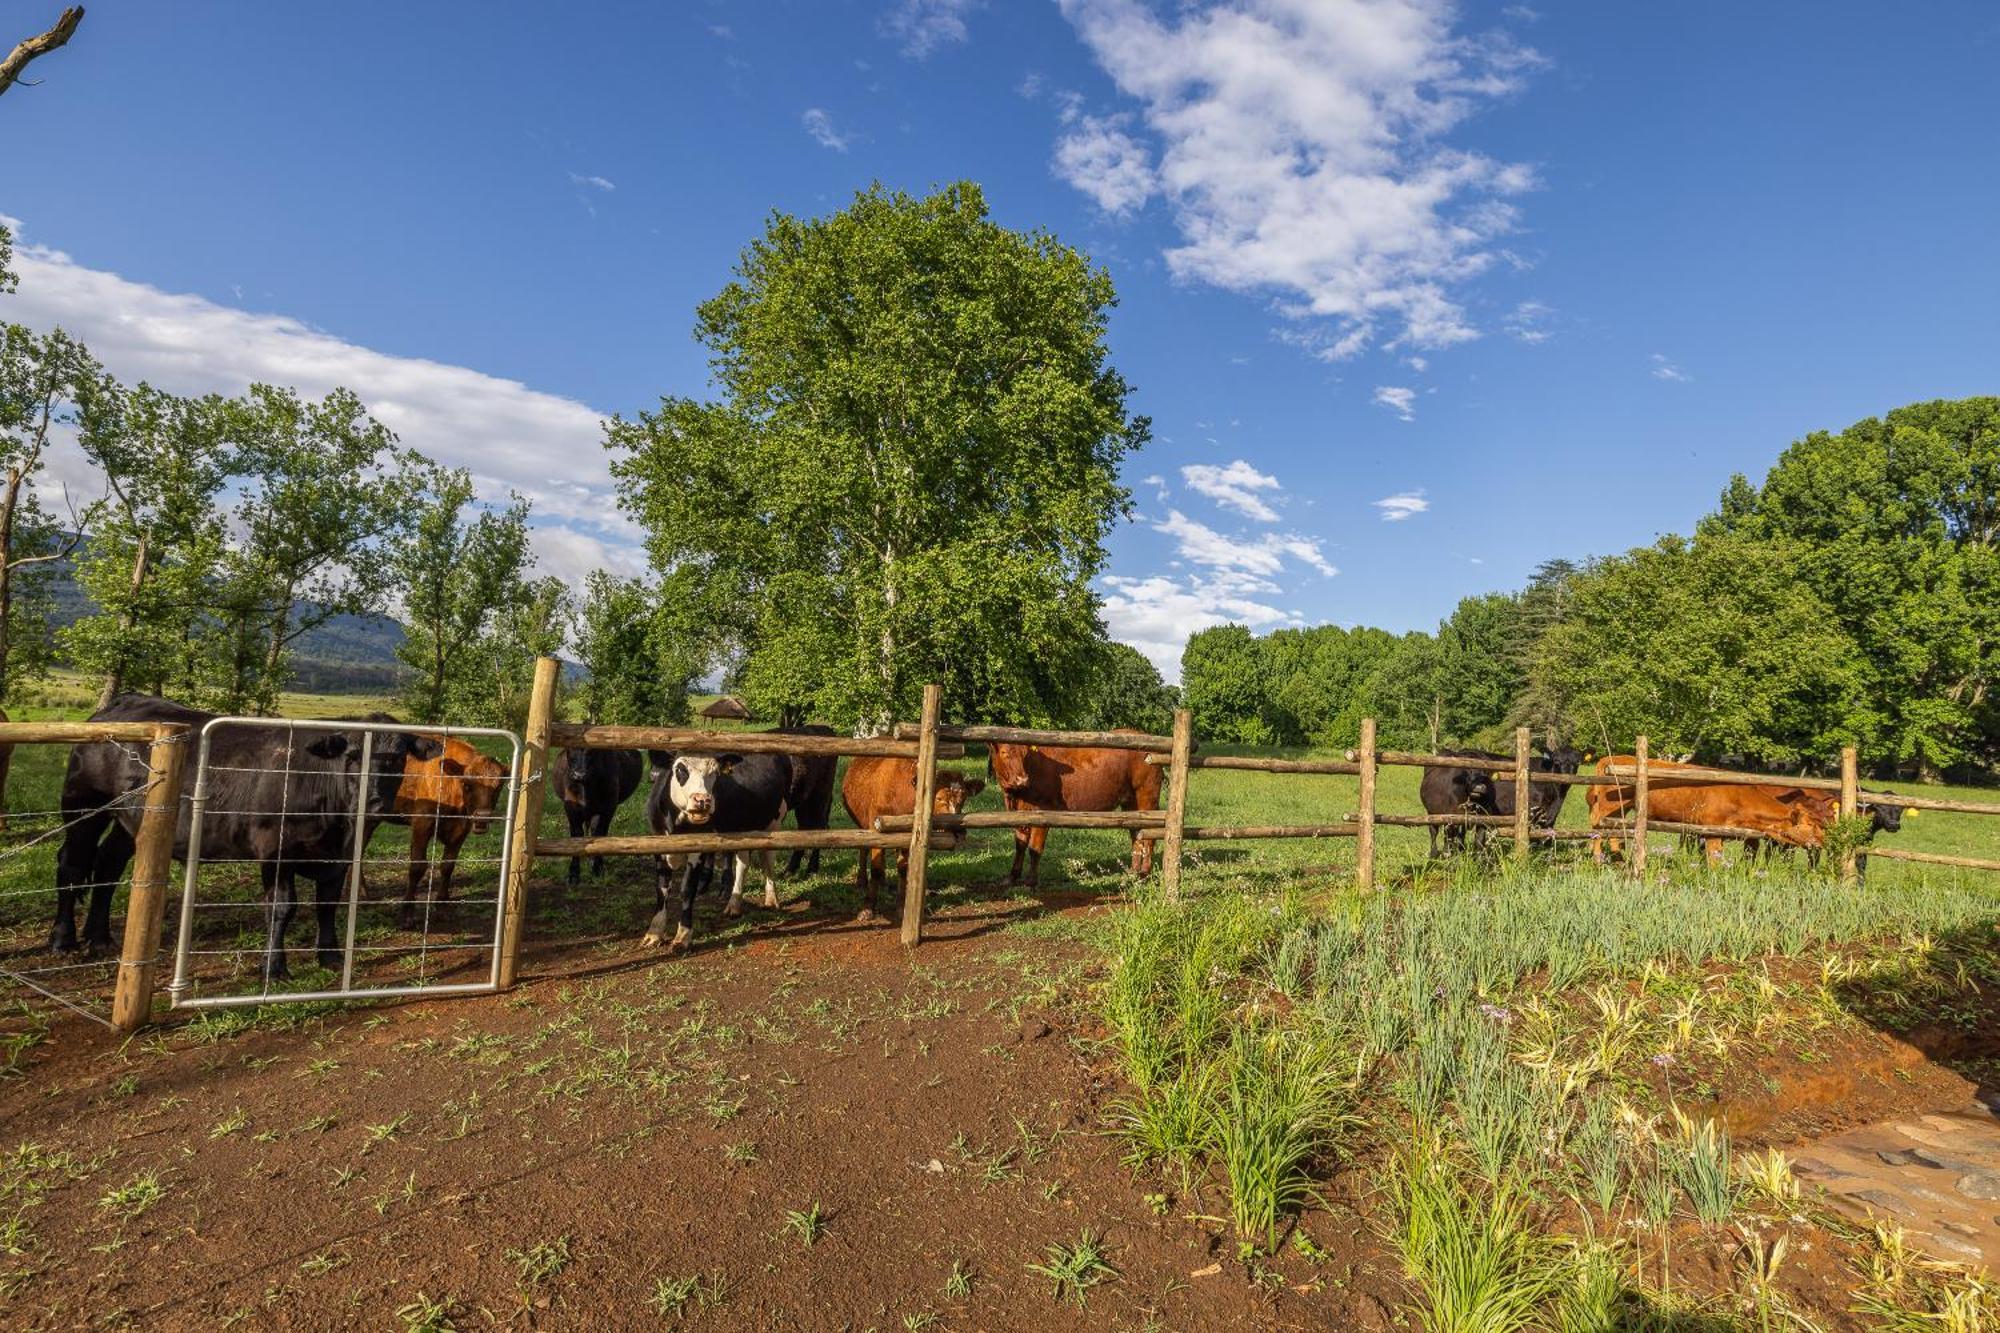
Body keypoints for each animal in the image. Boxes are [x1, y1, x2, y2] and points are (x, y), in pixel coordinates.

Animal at [386, 736, 504, 924]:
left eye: (499, 786)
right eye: (467, 784)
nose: (483, 817)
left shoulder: (461, 829)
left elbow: (448, 866)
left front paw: (442, 906)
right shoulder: (422, 823)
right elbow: (417, 866)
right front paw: (407, 912)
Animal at [552, 748, 644, 880]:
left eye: (592, 751)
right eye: (571, 749)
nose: (579, 774)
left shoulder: (607, 808)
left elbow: (599, 834)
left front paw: (597, 868)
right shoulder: (570, 808)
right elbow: (576, 835)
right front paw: (574, 873)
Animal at [644, 748, 792, 956]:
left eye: (714, 773)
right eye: (680, 769)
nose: (702, 800)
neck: (676, 826)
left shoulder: (697, 850)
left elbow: (687, 889)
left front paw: (683, 937)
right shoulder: (657, 845)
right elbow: (662, 888)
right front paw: (654, 932)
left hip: (774, 821)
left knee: (767, 858)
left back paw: (771, 898)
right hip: (744, 828)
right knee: (743, 862)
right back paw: (734, 904)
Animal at [836, 752, 984, 920]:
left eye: (964, 799)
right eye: (938, 798)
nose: (959, 831)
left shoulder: (907, 837)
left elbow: (903, 869)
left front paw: (901, 906)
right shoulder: (875, 831)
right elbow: (875, 869)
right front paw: (867, 908)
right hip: (862, 826)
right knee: (863, 849)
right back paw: (861, 881)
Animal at [984, 732, 1160, 888]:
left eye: (1024, 755)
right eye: (1005, 753)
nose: (1022, 779)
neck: (1016, 797)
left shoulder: (1043, 811)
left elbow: (1034, 849)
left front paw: (1031, 881)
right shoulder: (1019, 814)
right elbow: (1020, 845)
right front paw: (1012, 877)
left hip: (1147, 796)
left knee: (1149, 837)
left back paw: (1144, 874)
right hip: (1131, 803)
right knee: (1136, 836)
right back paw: (1133, 872)